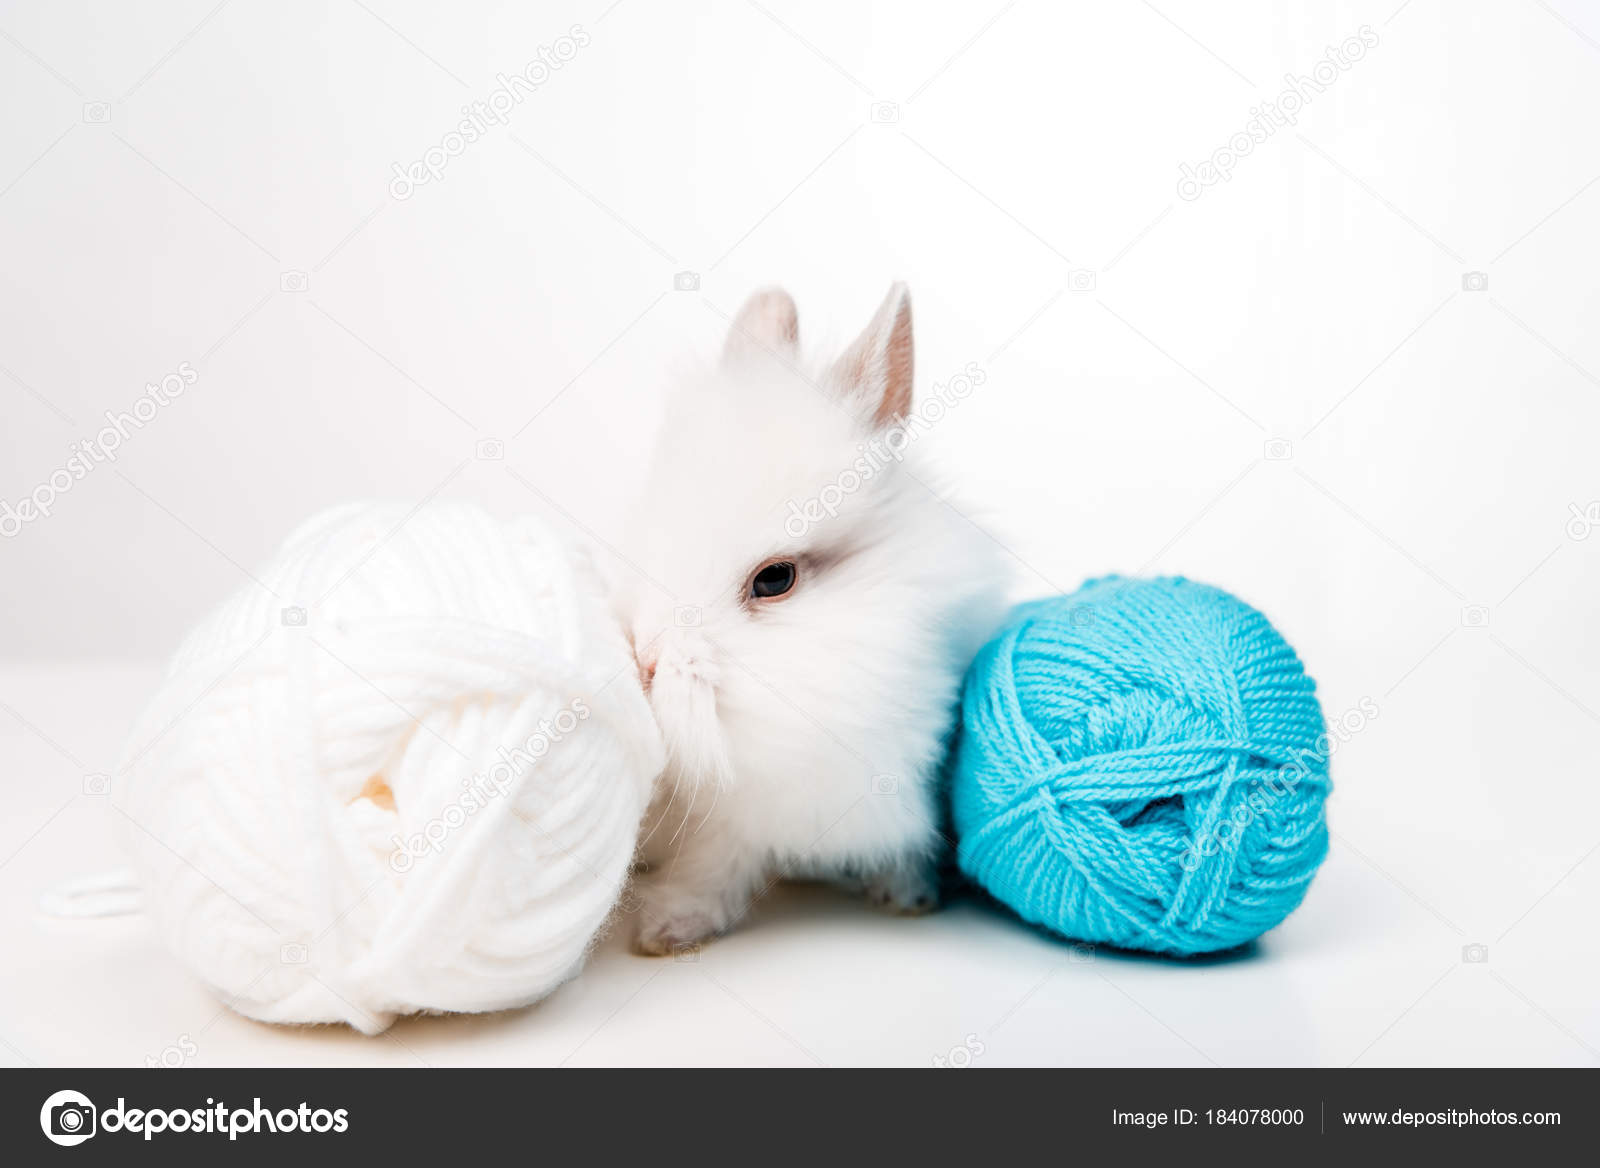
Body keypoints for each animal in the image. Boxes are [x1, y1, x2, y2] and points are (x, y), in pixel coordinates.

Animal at [613, 283, 1008, 955]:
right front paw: (670, 929)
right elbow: (713, 868)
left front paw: (907, 897)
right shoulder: (730, 818)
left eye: (774, 579)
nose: (646, 658)